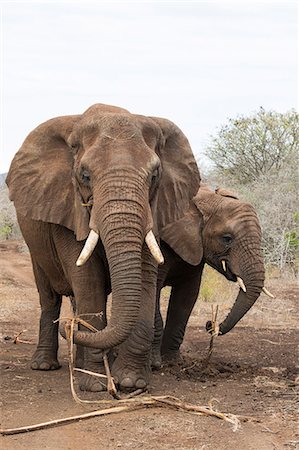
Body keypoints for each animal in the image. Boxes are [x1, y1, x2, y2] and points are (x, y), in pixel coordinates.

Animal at [5, 102, 202, 390]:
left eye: (155, 175)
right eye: (85, 176)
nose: (67, 327)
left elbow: (144, 275)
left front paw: (131, 382)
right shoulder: (68, 206)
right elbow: (87, 279)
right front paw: (95, 386)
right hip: (35, 247)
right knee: (49, 296)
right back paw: (45, 365)